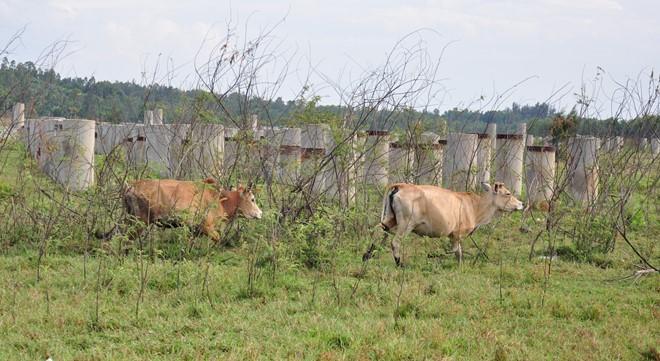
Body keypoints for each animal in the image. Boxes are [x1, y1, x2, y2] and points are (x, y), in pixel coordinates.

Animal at [98, 178, 262, 242]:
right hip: (139, 222)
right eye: (252, 199)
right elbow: (217, 239)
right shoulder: (206, 227)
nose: (260, 213)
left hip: (128, 219)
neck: (220, 199)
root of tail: (130, 186)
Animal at [364, 181, 524, 266]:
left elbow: (458, 252)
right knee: (395, 242)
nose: (521, 204)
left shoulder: (455, 236)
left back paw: (367, 255)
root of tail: (400, 185)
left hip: (390, 220)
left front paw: (460, 266)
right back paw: (400, 264)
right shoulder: (457, 233)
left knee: (378, 230)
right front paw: (433, 256)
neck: (474, 206)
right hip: (405, 224)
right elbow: (454, 250)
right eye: (508, 193)